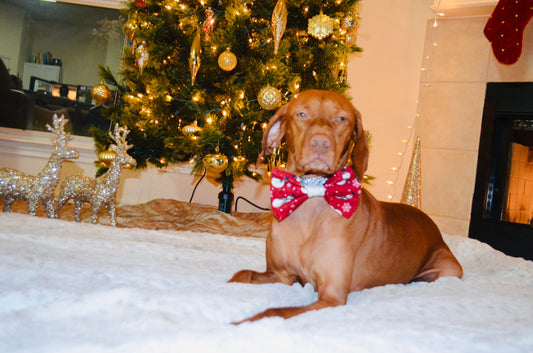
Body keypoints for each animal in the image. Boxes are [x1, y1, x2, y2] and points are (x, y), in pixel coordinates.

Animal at [229, 90, 462, 322]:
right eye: (301, 114)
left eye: (341, 119)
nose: (320, 143)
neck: (311, 198)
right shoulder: (281, 275)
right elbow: (241, 274)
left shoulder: (332, 296)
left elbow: (273, 311)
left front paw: (239, 322)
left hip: (450, 269)